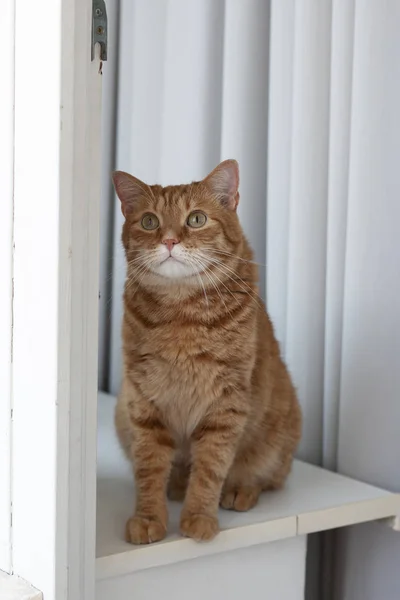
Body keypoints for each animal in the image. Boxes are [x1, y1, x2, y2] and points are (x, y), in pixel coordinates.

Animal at [111, 159, 300, 544]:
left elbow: (211, 468)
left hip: (278, 438)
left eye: (196, 219)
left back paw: (240, 490)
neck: (181, 315)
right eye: (149, 221)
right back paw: (176, 485)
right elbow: (149, 468)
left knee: (269, 477)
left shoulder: (226, 407)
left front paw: (198, 517)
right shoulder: (143, 402)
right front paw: (149, 517)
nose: (169, 240)